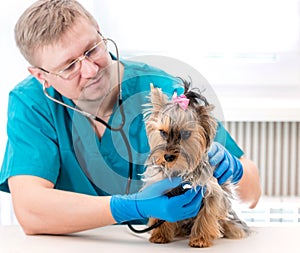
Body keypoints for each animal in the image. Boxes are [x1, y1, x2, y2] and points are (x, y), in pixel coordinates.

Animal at [142, 80, 250, 247]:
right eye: (163, 132)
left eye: (185, 133)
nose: (168, 156)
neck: (179, 170)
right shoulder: (160, 190)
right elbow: (162, 212)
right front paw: (160, 235)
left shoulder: (211, 191)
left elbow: (207, 214)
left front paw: (200, 239)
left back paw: (232, 229)